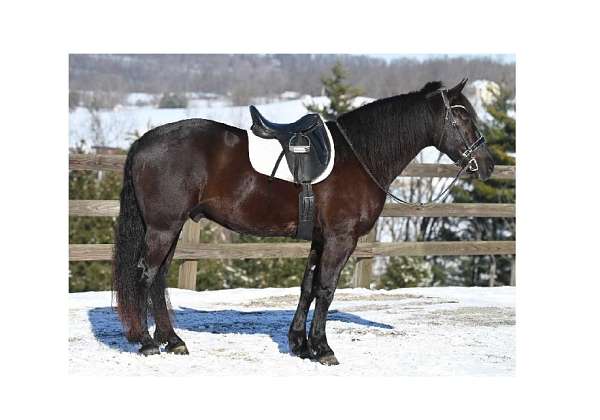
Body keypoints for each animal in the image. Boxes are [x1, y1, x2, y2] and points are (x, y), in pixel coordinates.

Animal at [111, 78, 492, 364]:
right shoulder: (340, 239)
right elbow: (326, 289)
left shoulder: (321, 238)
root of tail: (144, 143)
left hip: (170, 228)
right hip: (163, 228)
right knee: (145, 275)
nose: (487, 165)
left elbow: (307, 286)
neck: (359, 157)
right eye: (463, 118)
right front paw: (322, 348)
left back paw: (172, 340)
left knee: (158, 277)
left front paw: (300, 344)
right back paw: (148, 342)